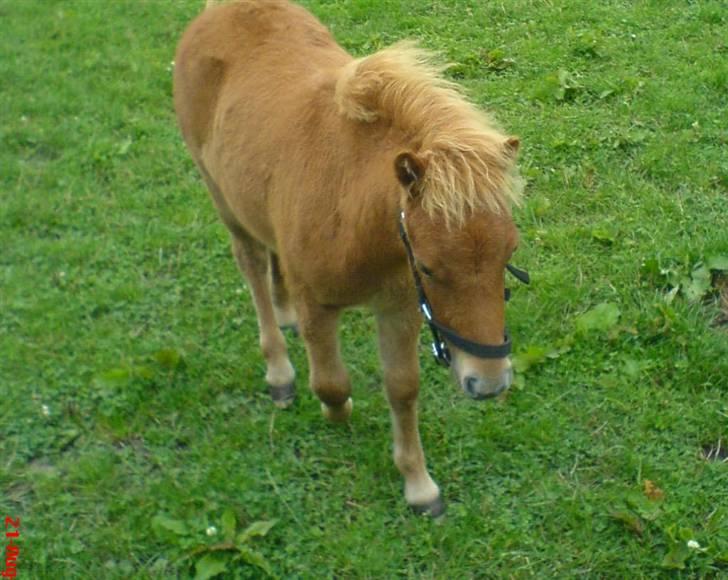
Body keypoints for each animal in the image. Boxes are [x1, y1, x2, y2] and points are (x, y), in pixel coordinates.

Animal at [174, 0, 525, 516]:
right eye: (428, 267)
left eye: (509, 254)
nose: (489, 382)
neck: (353, 211)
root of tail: (221, 9)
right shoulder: (320, 305)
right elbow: (332, 383)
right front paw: (337, 412)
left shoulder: (400, 308)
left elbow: (402, 387)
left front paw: (419, 486)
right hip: (220, 195)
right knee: (251, 263)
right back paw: (279, 370)